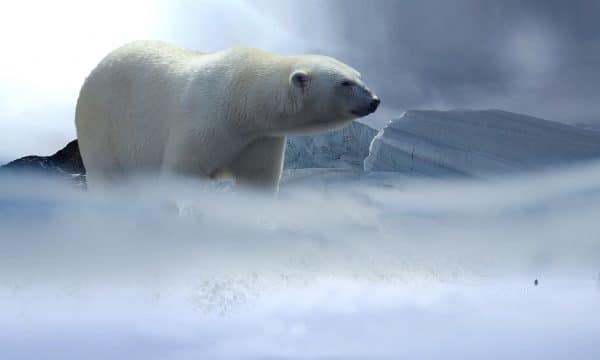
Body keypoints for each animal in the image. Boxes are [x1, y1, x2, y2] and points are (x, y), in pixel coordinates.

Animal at [76, 40, 380, 190]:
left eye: (359, 76)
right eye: (345, 83)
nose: (375, 101)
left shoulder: (260, 138)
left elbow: (258, 179)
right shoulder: (205, 120)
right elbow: (182, 172)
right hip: (104, 125)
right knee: (108, 175)